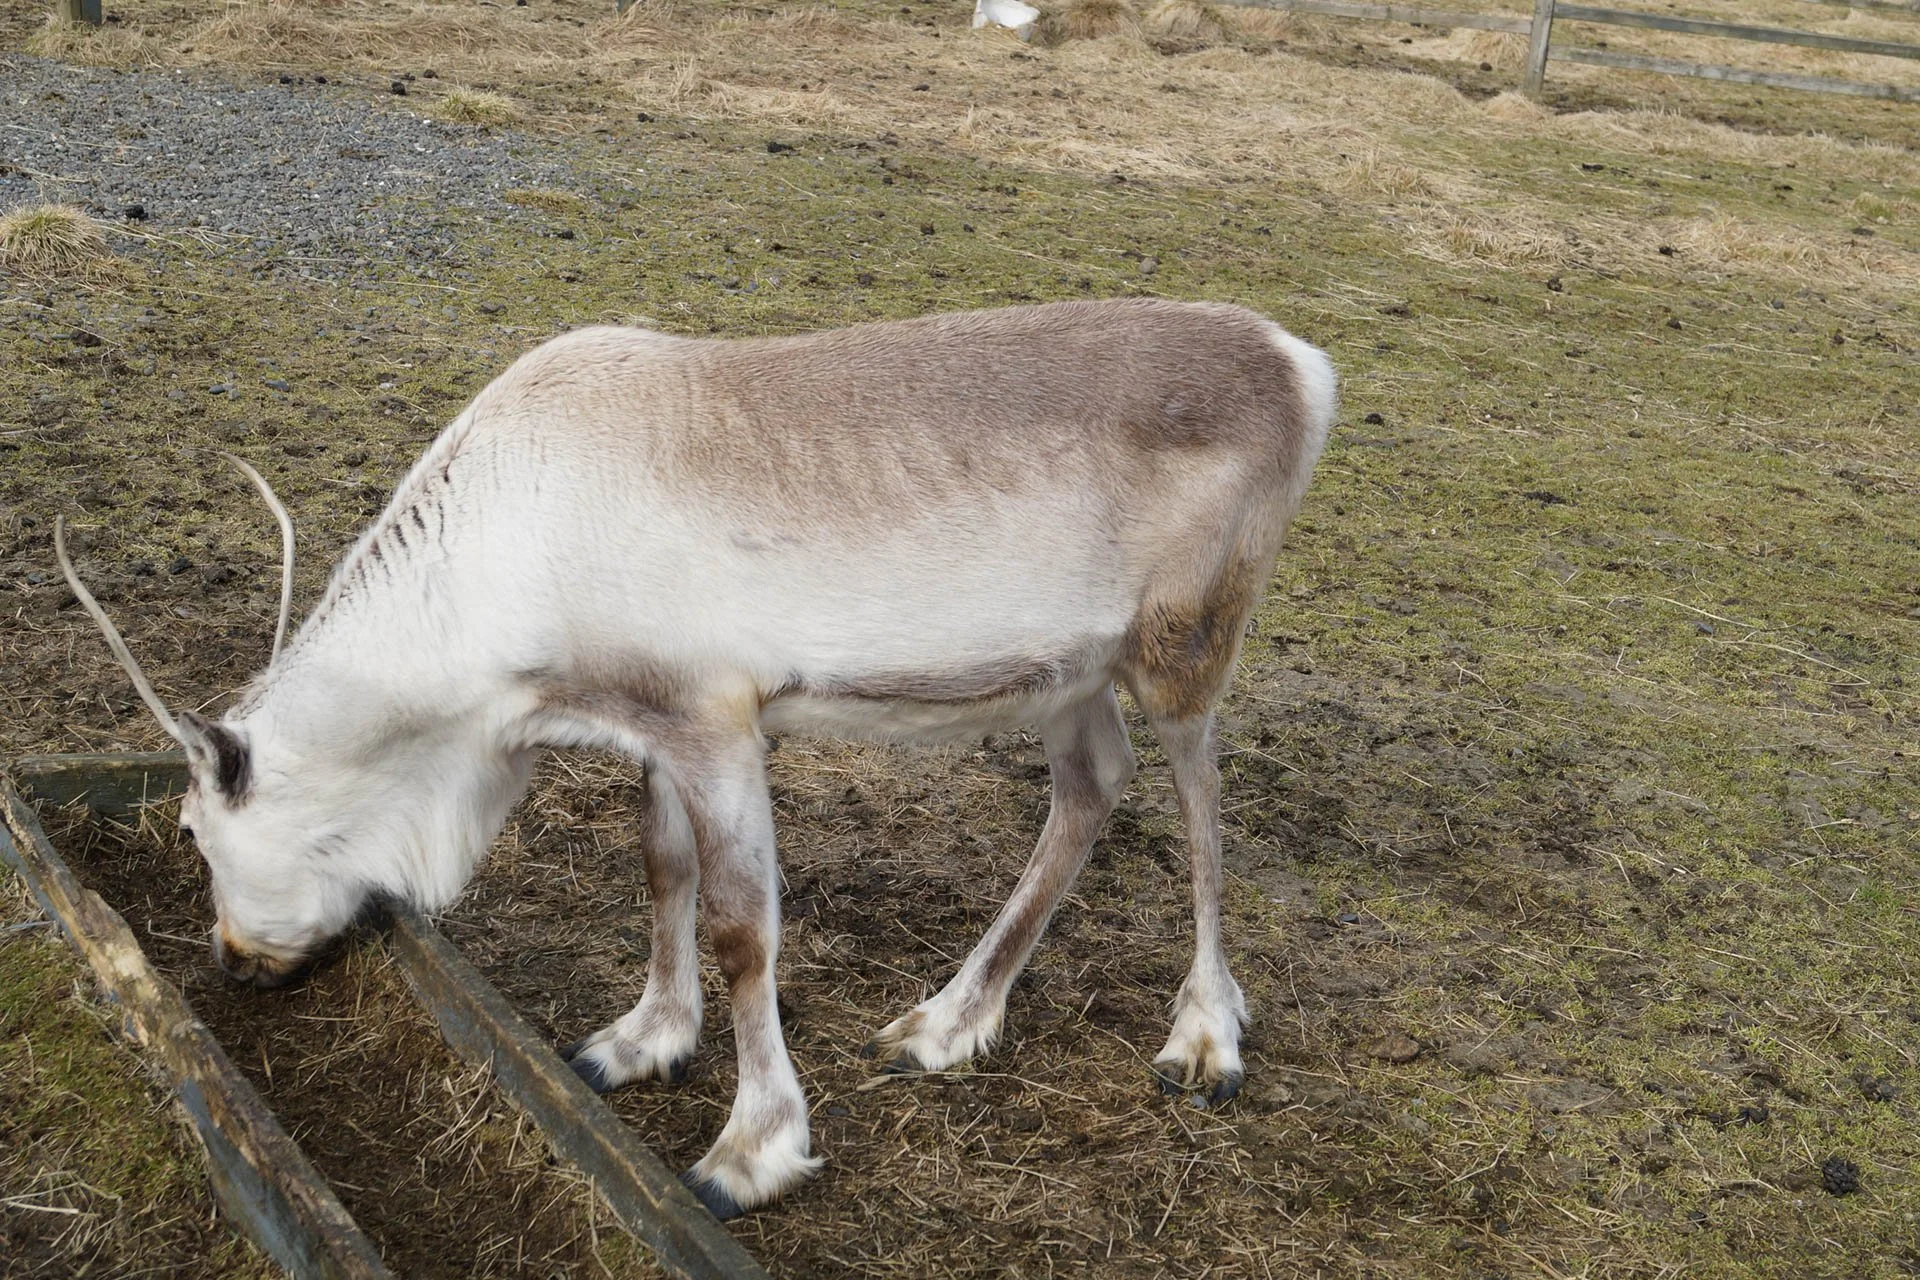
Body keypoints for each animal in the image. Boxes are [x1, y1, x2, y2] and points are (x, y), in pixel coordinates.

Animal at [56, 297, 1337, 1219]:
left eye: (195, 828)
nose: (233, 962)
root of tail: (1302, 366)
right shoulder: (653, 724)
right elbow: (659, 868)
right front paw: (640, 1040)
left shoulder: (719, 719)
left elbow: (741, 928)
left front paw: (752, 1146)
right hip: (1067, 671)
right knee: (1091, 785)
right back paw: (946, 1021)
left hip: (1183, 638)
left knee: (1203, 795)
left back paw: (1204, 1034)